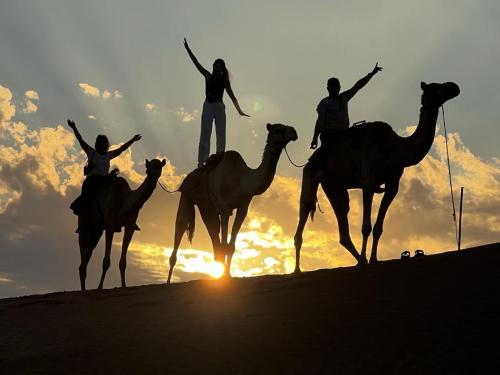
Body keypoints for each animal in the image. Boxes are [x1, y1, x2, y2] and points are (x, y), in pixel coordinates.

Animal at [78, 159, 167, 290]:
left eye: (159, 166)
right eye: (149, 166)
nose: (153, 173)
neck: (125, 203)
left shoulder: (130, 226)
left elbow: (123, 262)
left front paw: (124, 285)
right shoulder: (110, 226)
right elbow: (106, 262)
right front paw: (99, 287)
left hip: (97, 229)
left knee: (89, 249)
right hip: (85, 222)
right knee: (83, 246)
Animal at [168, 125, 296, 284]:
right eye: (278, 129)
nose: (294, 132)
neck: (242, 180)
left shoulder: (242, 208)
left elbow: (231, 246)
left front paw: (227, 275)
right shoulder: (224, 209)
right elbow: (225, 244)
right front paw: (223, 278)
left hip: (206, 206)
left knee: (213, 234)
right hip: (186, 196)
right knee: (181, 224)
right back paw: (168, 280)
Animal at [292, 82, 460, 270]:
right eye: (436, 87)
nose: (454, 86)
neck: (395, 147)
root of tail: (310, 160)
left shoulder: (393, 184)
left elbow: (378, 228)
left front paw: (373, 259)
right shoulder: (368, 182)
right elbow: (366, 226)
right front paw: (366, 260)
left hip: (334, 186)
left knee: (343, 226)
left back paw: (359, 258)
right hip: (311, 175)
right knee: (306, 207)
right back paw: (297, 269)